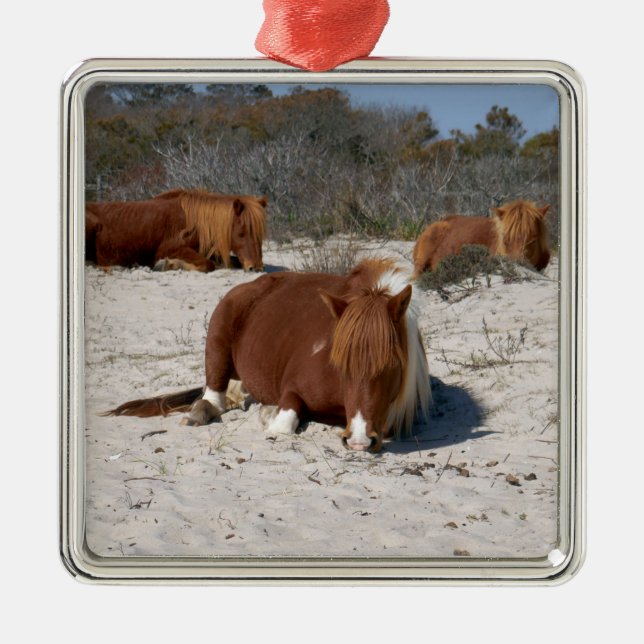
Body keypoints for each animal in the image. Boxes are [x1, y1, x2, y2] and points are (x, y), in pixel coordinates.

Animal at [85, 189, 267, 272]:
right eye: (242, 232)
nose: (256, 267)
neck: (196, 222)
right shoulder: (170, 249)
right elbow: (207, 264)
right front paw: (169, 264)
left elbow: (230, 261)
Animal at [105, 258, 431, 453]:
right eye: (340, 365)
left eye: (392, 366)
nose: (360, 440)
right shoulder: (293, 389)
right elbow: (285, 422)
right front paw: (269, 414)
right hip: (218, 337)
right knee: (214, 398)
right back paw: (201, 413)